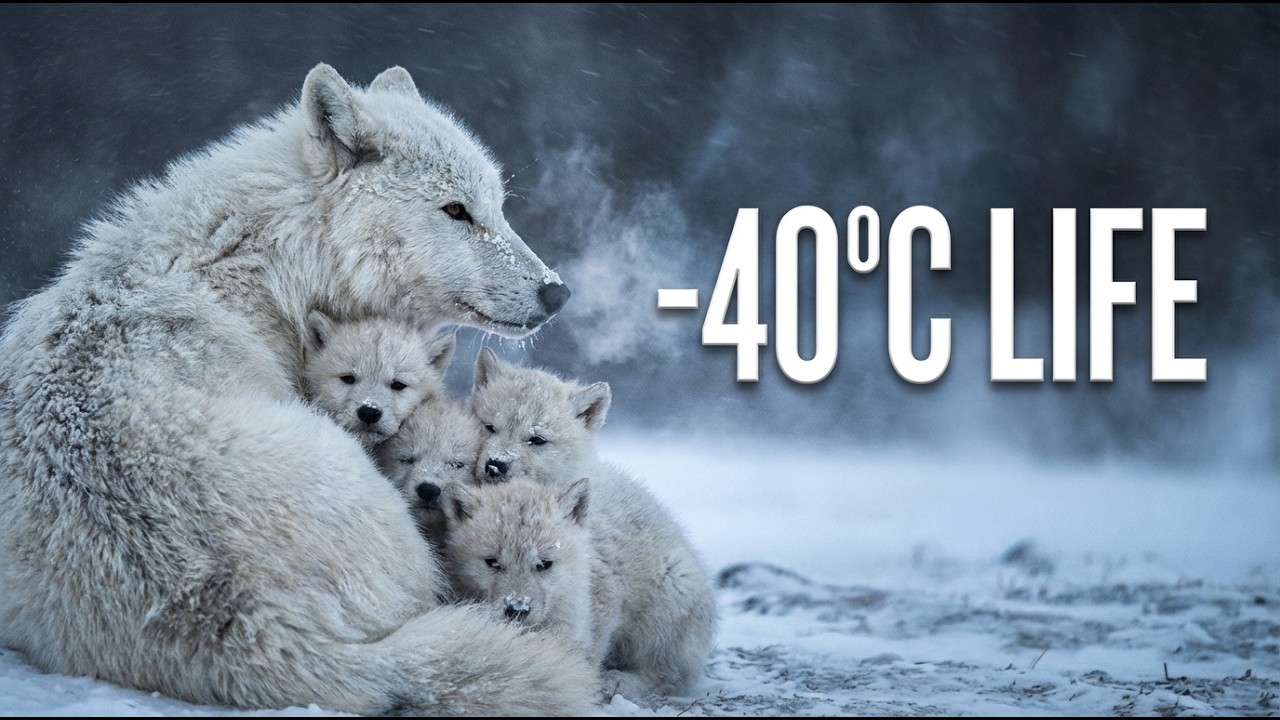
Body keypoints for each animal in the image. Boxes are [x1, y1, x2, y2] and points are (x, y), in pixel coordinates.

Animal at [466, 349, 717, 698]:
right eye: (489, 426)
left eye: (537, 439)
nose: (495, 465)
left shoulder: (598, 582)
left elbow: (588, 643)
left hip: (670, 593)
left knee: (670, 675)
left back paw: (623, 681)